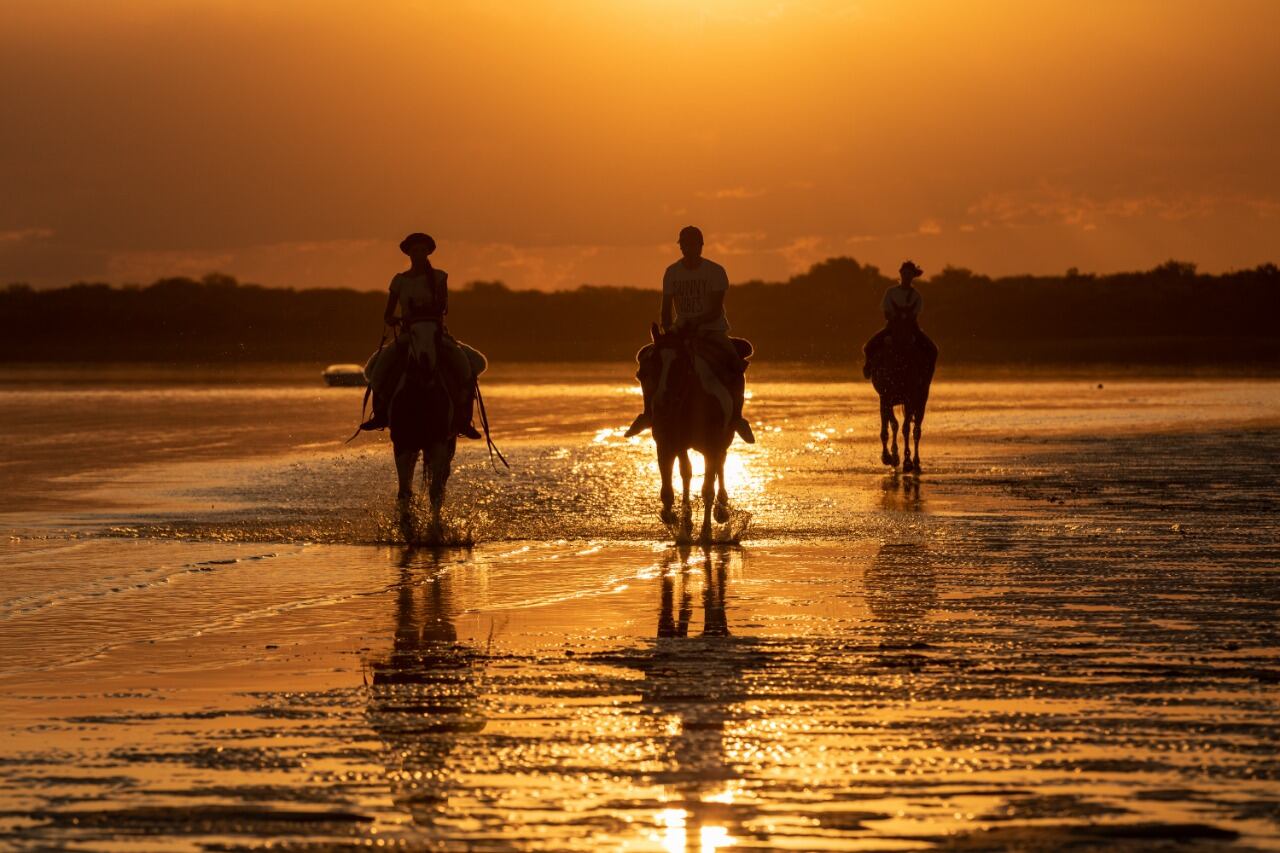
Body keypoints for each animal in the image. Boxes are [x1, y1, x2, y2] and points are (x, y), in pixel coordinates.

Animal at [650, 322, 742, 540]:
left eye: (679, 363)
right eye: (654, 362)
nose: (660, 404)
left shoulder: (711, 448)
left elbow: (707, 489)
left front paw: (706, 531)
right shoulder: (666, 446)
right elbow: (668, 489)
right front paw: (677, 519)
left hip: (724, 440)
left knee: (720, 465)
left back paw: (721, 509)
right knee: (687, 472)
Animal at [865, 312, 936, 471]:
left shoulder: (910, 398)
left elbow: (905, 428)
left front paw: (906, 460)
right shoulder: (885, 398)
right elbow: (891, 426)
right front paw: (890, 457)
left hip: (922, 398)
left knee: (916, 429)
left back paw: (915, 462)